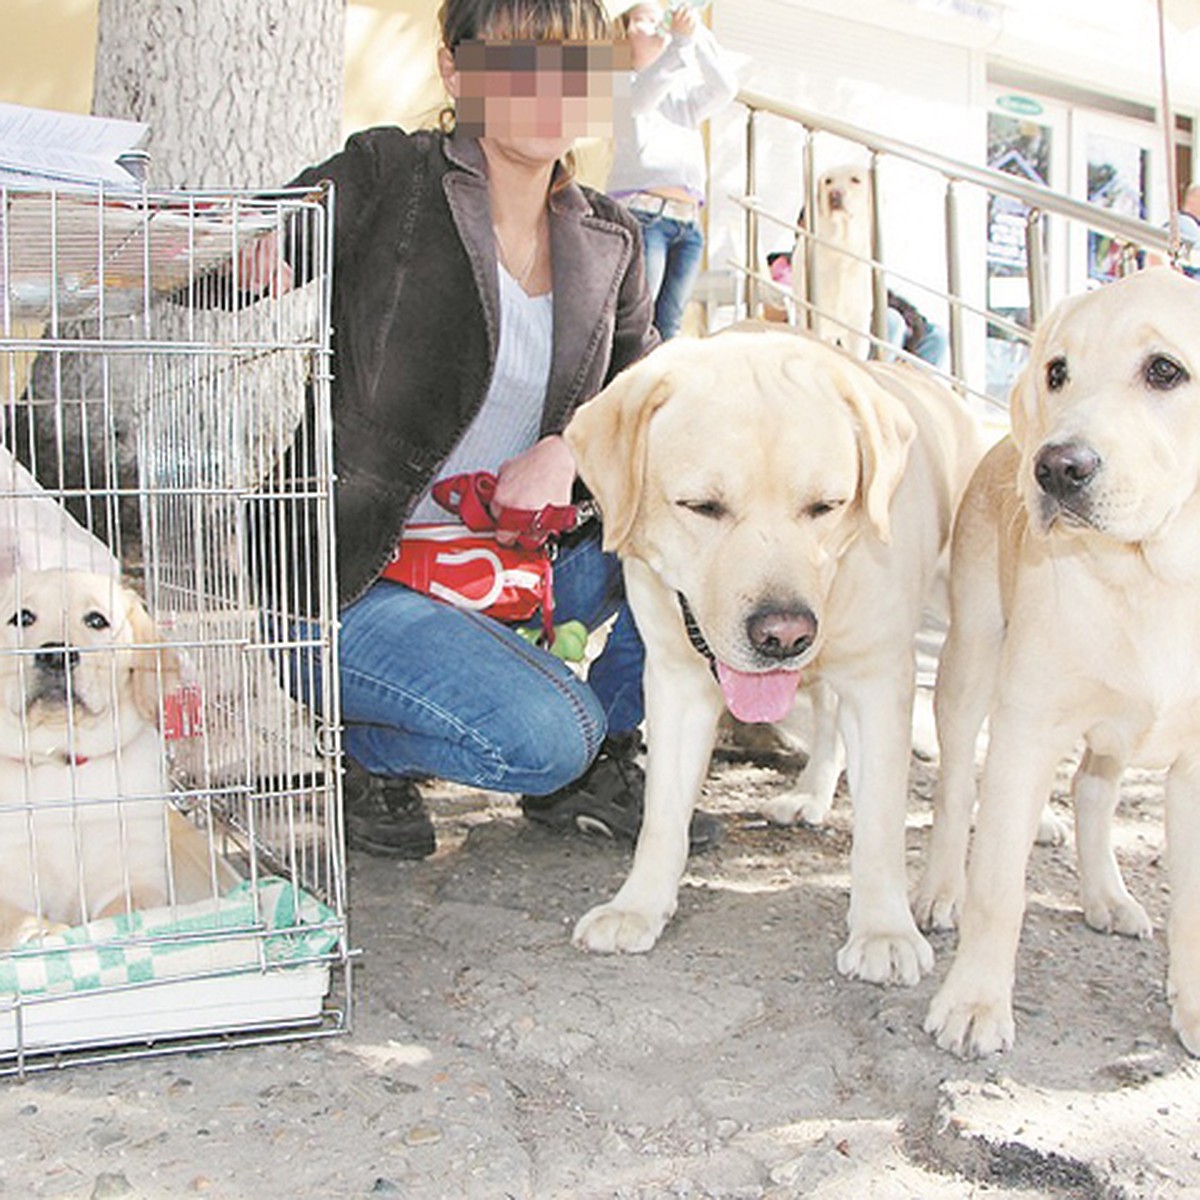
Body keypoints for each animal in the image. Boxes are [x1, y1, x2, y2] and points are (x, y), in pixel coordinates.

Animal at [566, 326, 979, 984]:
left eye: (826, 506)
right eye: (702, 506)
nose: (784, 635)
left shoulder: (879, 679)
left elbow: (881, 824)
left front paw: (884, 930)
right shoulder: (675, 680)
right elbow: (662, 815)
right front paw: (639, 905)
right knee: (829, 718)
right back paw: (811, 793)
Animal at [921, 267, 1200, 1056]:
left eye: (1165, 370)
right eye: (1057, 372)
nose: (1054, 467)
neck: (1155, 578)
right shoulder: (1025, 729)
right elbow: (997, 888)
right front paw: (975, 1000)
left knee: (1091, 786)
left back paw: (1105, 892)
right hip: (970, 660)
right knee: (957, 787)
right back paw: (939, 889)